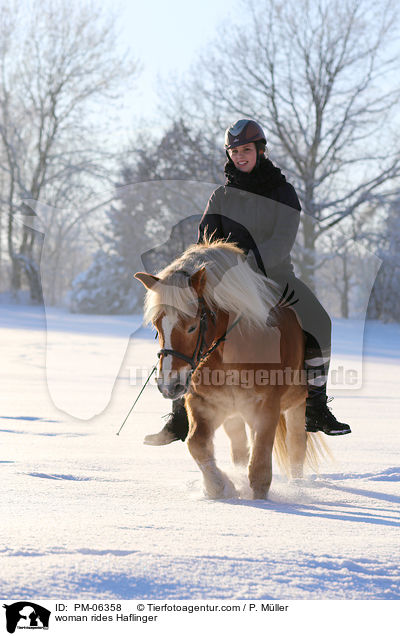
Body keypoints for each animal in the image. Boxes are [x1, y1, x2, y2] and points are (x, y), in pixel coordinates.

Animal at [134, 236, 324, 500]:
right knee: (240, 450)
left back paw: (298, 485)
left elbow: (260, 471)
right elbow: (197, 445)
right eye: (156, 325)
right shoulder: (204, 405)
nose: (169, 386)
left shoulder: (266, 409)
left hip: (297, 406)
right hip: (233, 415)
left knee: (296, 447)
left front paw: (260, 501)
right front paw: (220, 486)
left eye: (192, 326)